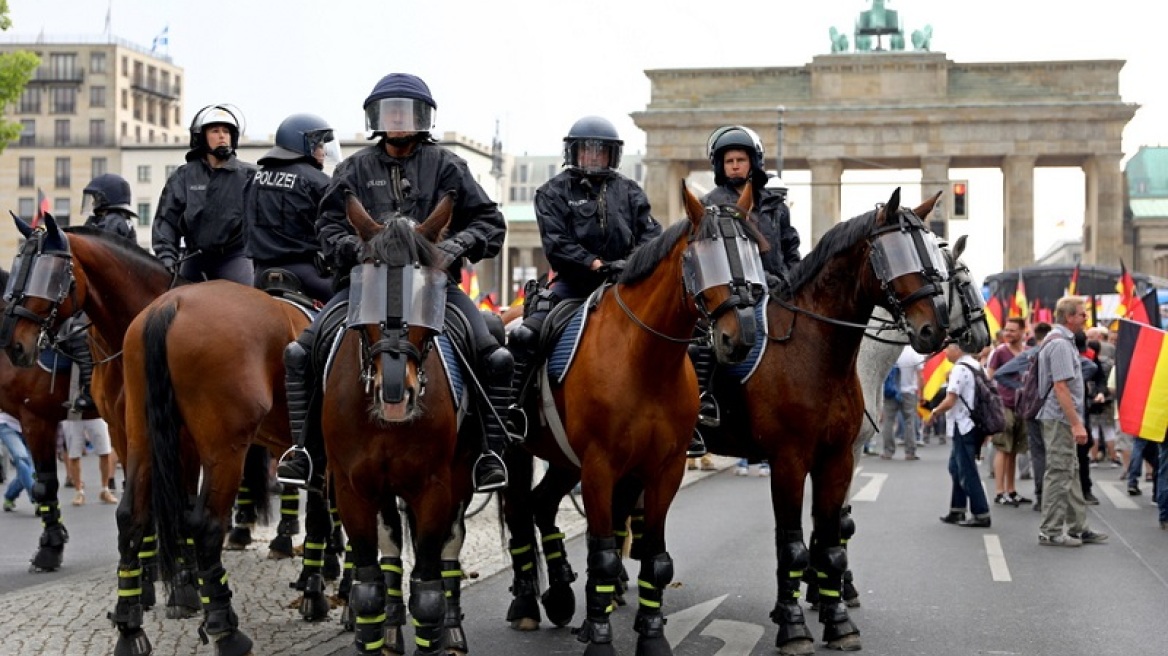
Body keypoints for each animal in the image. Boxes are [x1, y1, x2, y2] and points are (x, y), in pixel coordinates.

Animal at [499, 180, 766, 653]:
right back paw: (528, 603)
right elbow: (605, 553)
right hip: (520, 452)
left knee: (542, 503)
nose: (741, 338)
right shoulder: (600, 465)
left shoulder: (663, 467)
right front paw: (600, 637)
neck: (644, 358)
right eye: (704, 256)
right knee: (518, 511)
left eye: (753, 252)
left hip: (566, 460)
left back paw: (563, 596)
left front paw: (652, 635)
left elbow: (654, 557)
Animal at [700, 186, 948, 648]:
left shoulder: (838, 458)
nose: (933, 331)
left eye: (937, 260)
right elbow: (793, 545)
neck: (814, 351)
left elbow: (832, 539)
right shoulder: (788, 461)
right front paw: (794, 625)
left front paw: (837, 619)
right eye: (895, 253)